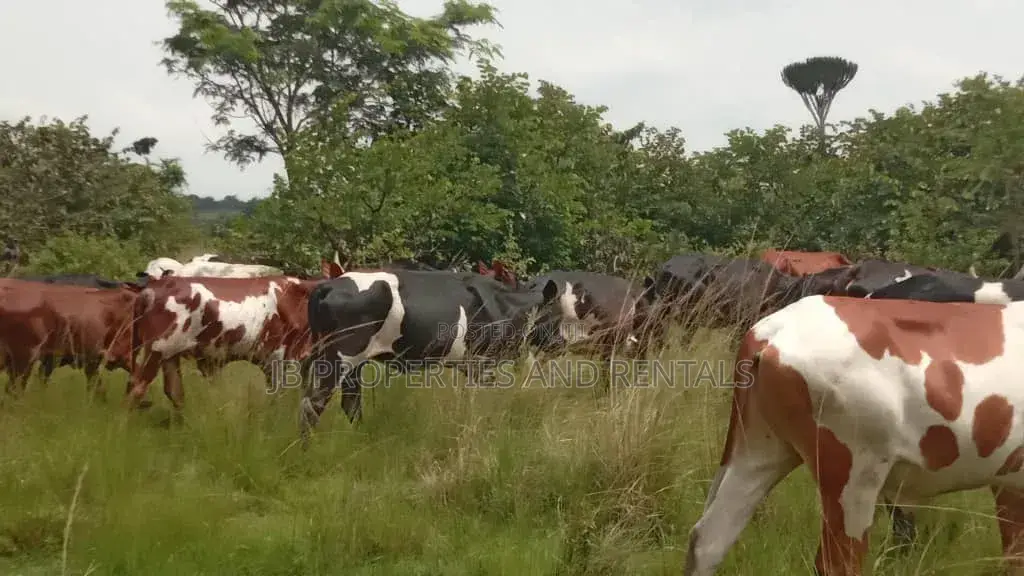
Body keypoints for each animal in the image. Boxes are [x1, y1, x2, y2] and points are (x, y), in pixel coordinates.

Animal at [125, 273, 335, 412]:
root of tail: (153, 288)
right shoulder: (278, 359)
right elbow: (277, 398)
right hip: (156, 350)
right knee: (137, 387)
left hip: (169, 355)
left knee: (174, 392)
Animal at [298, 270, 578, 436]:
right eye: (557, 315)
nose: (562, 344)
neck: (507, 307)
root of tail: (328, 285)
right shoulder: (483, 363)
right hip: (339, 357)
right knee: (313, 404)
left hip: (354, 363)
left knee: (350, 403)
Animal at [684, 295, 1024, 575]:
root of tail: (775, 328)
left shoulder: (1009, 483)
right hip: (854, 473)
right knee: (838, 564)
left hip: (759, 452)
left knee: (708, 540)